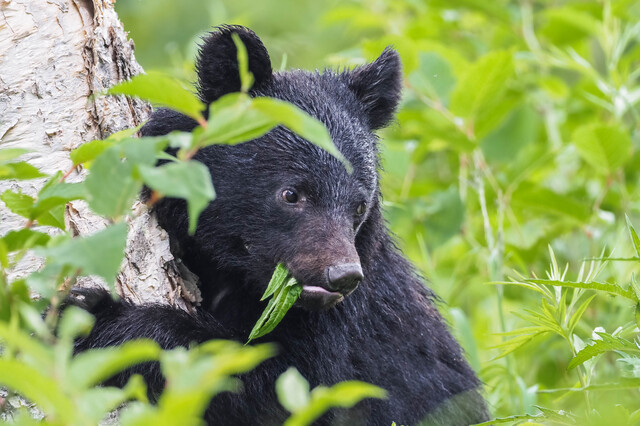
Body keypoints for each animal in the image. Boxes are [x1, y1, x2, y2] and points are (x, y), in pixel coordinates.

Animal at [74, 25, 490, 424]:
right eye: (291, 194)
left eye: (359, 205)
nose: (343, 275)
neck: (235, 276)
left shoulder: (344, 333)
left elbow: (274, 386)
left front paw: (96, 319)